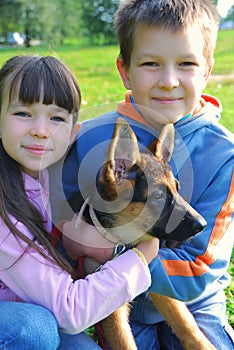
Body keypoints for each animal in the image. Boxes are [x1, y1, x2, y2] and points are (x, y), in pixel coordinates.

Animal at [68, 118, 215, 350]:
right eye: (158, 196)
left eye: (177, 188)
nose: (203, 224)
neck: (124, 242)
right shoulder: (108, 299)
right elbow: (125, 342)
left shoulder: (157, 281)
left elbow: (186, 323)